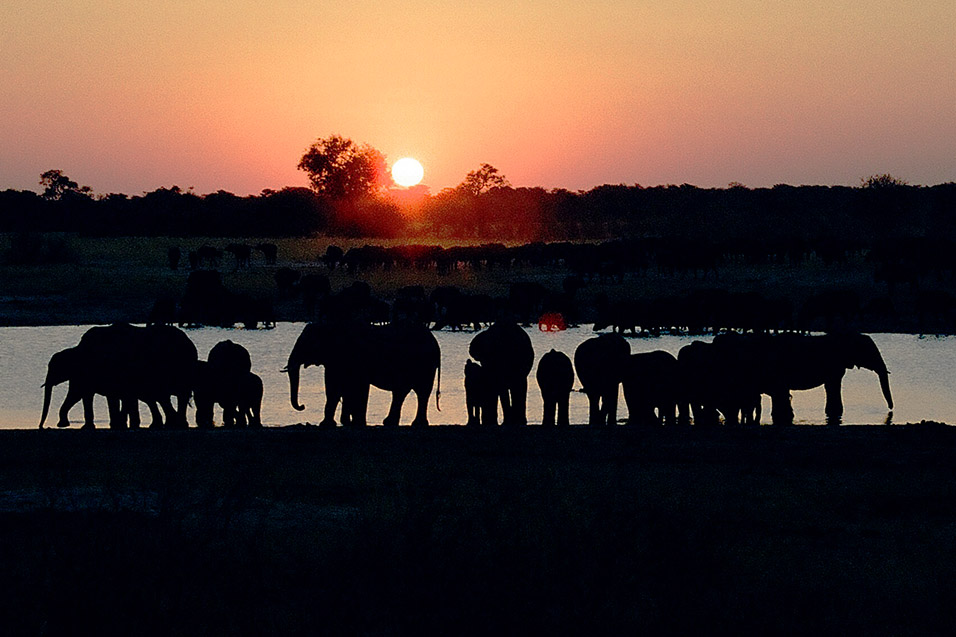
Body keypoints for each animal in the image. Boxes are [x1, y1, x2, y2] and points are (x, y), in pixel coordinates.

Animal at [41, 322, 198, 432]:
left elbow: (79, 393)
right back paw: (174, 424)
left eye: (54, 369)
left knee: (173, 395)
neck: (77, 349)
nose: (41, 427)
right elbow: (83, 394)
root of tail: (189, 341)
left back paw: (175, 424)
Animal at [286, 318, 438, 428]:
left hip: (426, 365)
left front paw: (354, 423)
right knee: (401, 392)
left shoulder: (357, 360)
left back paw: (417, 424)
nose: (302, 406)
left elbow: (355, 387)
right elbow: (334, 387)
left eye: (306, 343)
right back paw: (390, 423)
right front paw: (338, 423)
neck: (332, 326)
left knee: (421, 392)